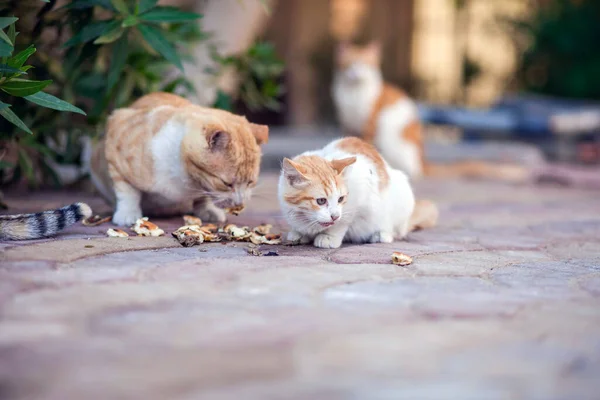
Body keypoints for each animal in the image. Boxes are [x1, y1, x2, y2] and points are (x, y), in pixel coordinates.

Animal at [90, 92, 268, 227]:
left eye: (250, 182)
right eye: (226, 183)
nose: (240, 203)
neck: (186, 178)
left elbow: (203, 197)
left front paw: (207, 209)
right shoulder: (116, 139)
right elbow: (127, 191)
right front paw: (127, 213)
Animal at [278, 139, 414, 248]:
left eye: (340, 199)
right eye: (321, 201)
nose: (334, 216)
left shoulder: (359, 195)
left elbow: (343, 221)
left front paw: (329, 236)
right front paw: (299, 233)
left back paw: (381, 234)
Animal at [332, 42, 528, 183]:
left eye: (366, 64)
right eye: (350, 64)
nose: (357, 74)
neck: (353, 92)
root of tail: (423, 160)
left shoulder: (370, 122)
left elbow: (364, 141)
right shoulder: (346, 121)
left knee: (412, 171)